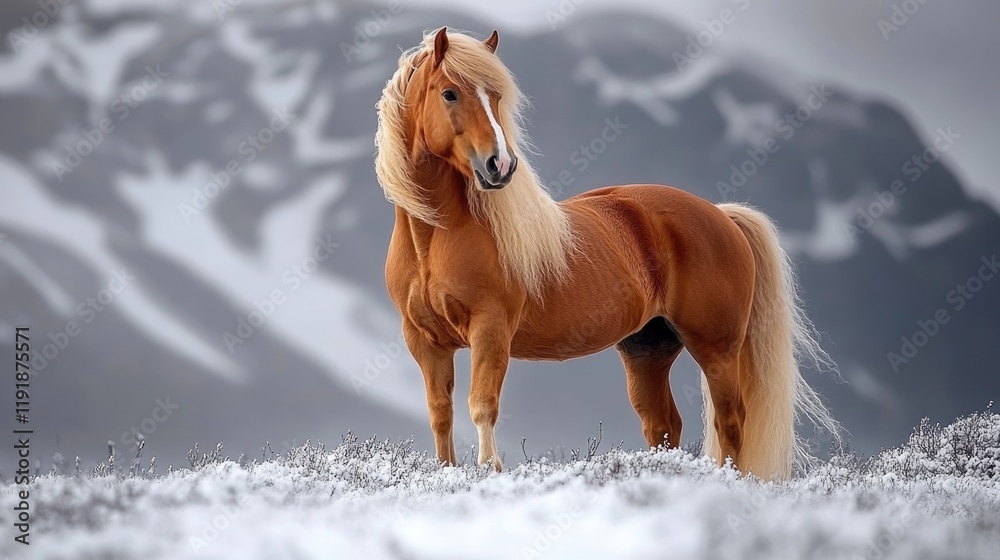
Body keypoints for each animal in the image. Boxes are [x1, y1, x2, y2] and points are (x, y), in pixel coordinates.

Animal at [375, 27, 839, 481]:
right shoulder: (425, 342)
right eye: (449, 93)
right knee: (662, 424)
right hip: (647, 350)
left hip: (716, 349)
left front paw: (489, 470)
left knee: (731, 422)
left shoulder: (490, 331)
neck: (436, 238)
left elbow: (482, 406)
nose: (500, 166)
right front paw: (447, 473)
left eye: (497, 96)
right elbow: (440, 413)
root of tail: (721, 215)